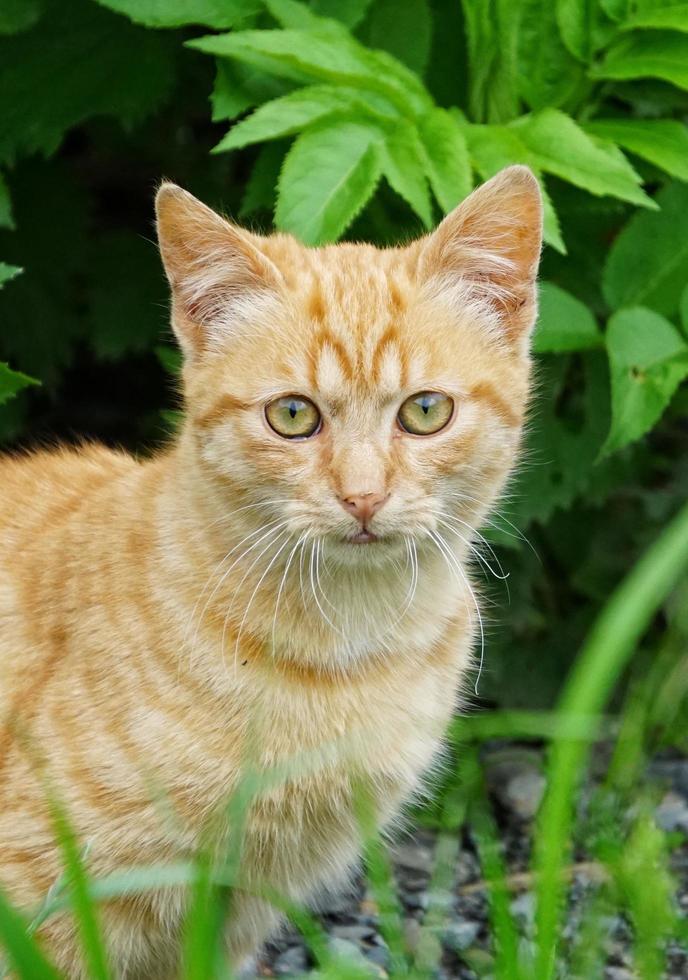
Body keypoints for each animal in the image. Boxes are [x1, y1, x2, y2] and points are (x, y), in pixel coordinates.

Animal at [0, 165, 540, 976]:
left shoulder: (236, 909)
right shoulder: (49, 898)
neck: (346, 648)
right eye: (292, 416)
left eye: (425, 411)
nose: (362, 495)